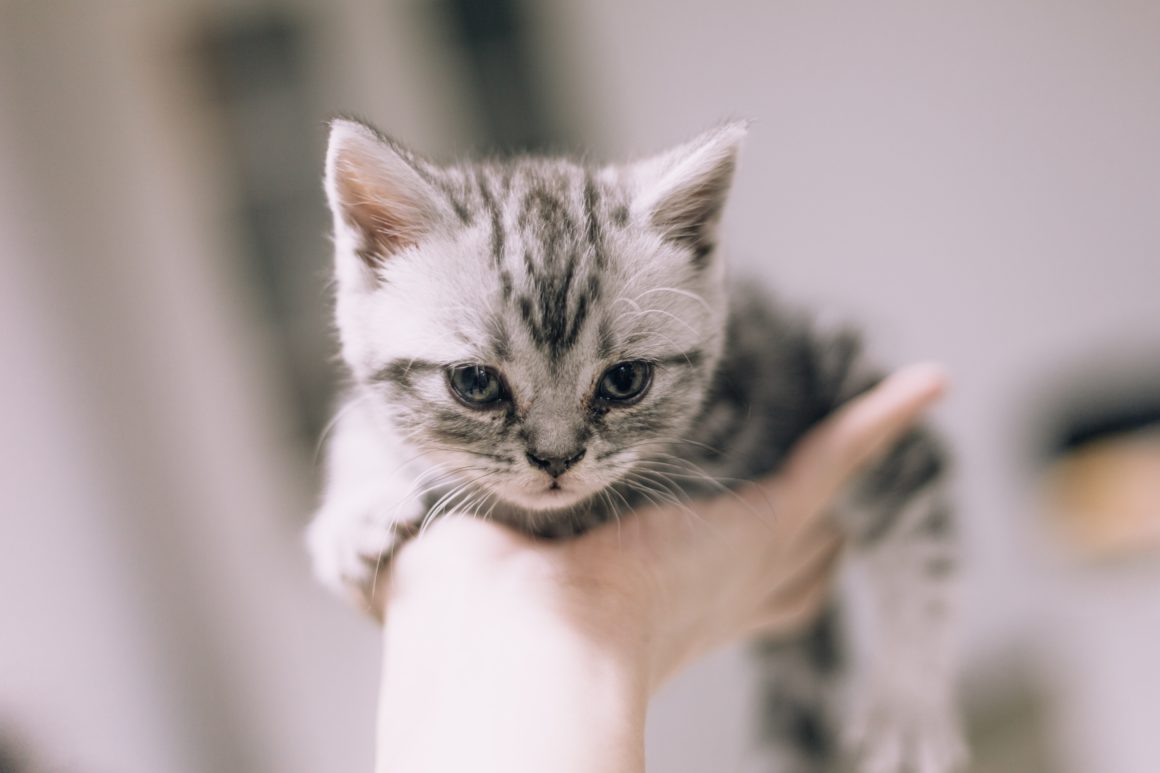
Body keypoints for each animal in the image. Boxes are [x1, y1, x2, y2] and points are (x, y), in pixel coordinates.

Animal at [306, 118, 960, 770]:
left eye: (624, 381)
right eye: (475, 383)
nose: (556, 459)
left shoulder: (837, 367)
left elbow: (916, 550)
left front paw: (908, 708)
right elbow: (357, 422)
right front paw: (355, 510)